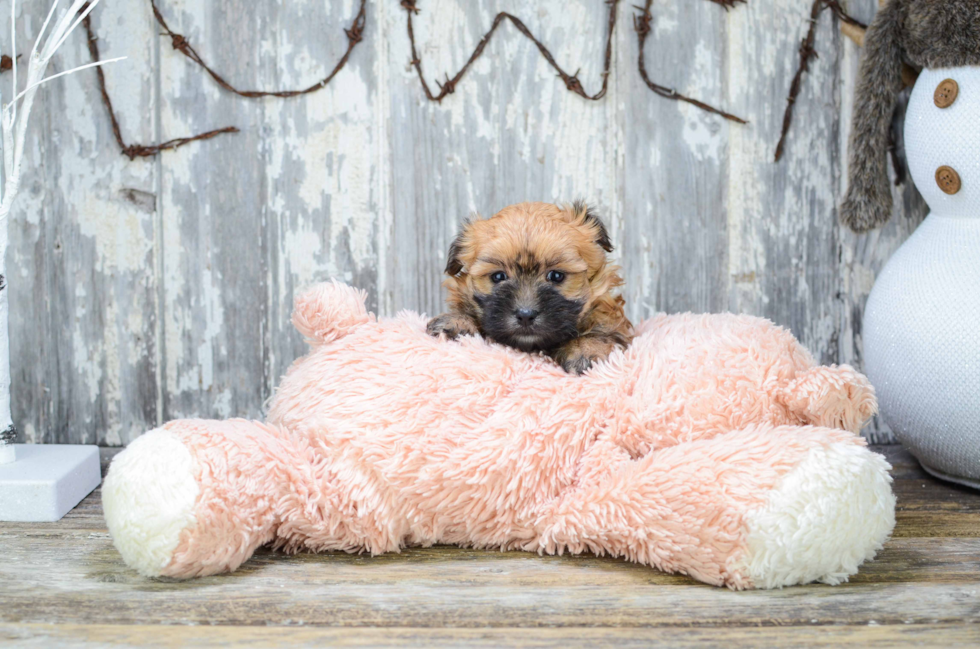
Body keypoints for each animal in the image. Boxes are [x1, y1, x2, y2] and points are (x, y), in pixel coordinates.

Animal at [424, 202, 632, 374]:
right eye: (498, 276)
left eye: (556, 276)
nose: (525, 315)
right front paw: (456, 322)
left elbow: (602, 334)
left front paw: (584, 350)